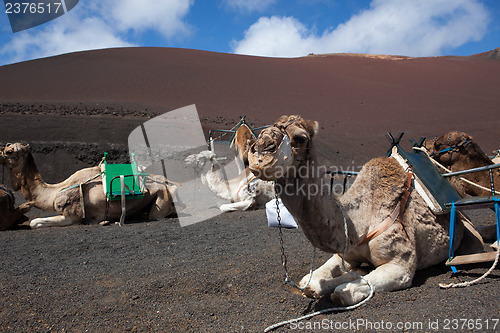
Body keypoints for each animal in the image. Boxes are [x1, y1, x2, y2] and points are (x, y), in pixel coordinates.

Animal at [0, 141, 178, 227]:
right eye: (5, 148)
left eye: (9, 151)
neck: (54, 191)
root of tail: (171, 182)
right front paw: (102, 221)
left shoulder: (71, 216)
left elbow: (34, 222)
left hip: (163, 196)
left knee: (157, 214)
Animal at [246, 115, 480, 304]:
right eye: (264, 130)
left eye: (301, 137)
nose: (260, 150)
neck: (360, 223)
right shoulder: (346, 254)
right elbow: (310, 282)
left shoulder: (401, 267)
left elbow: (343, 293)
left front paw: (346, 282)